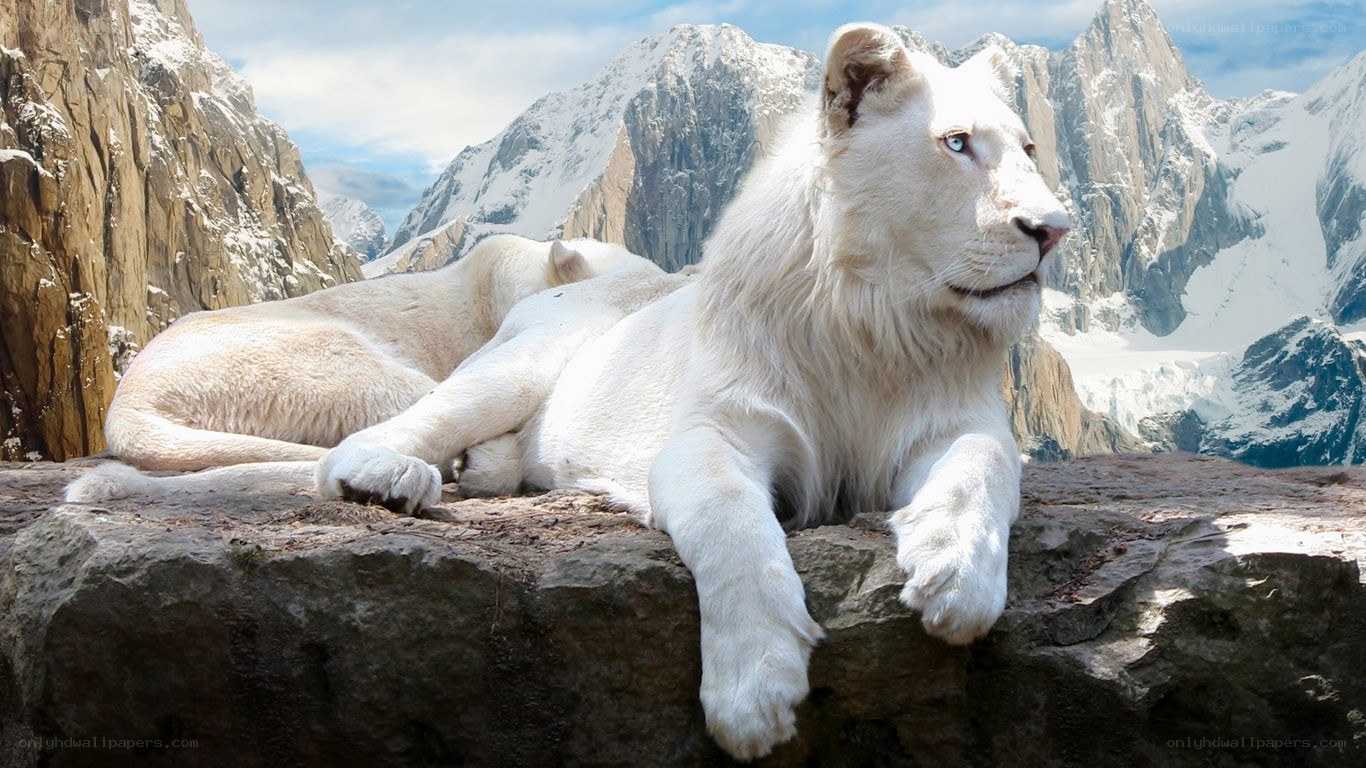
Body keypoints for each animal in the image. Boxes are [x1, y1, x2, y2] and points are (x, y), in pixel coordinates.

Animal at [309, 23, 1069, 759]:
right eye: (957, 143)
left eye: (1030, 148)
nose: (1055, 230)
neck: (875, 321)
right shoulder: (715, 431)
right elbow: (731, 524)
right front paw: (754, 692)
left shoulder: (955, 423)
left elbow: (982, 465)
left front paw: (956, 575)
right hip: (520, 365)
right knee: (386, 433)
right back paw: (389, 477)